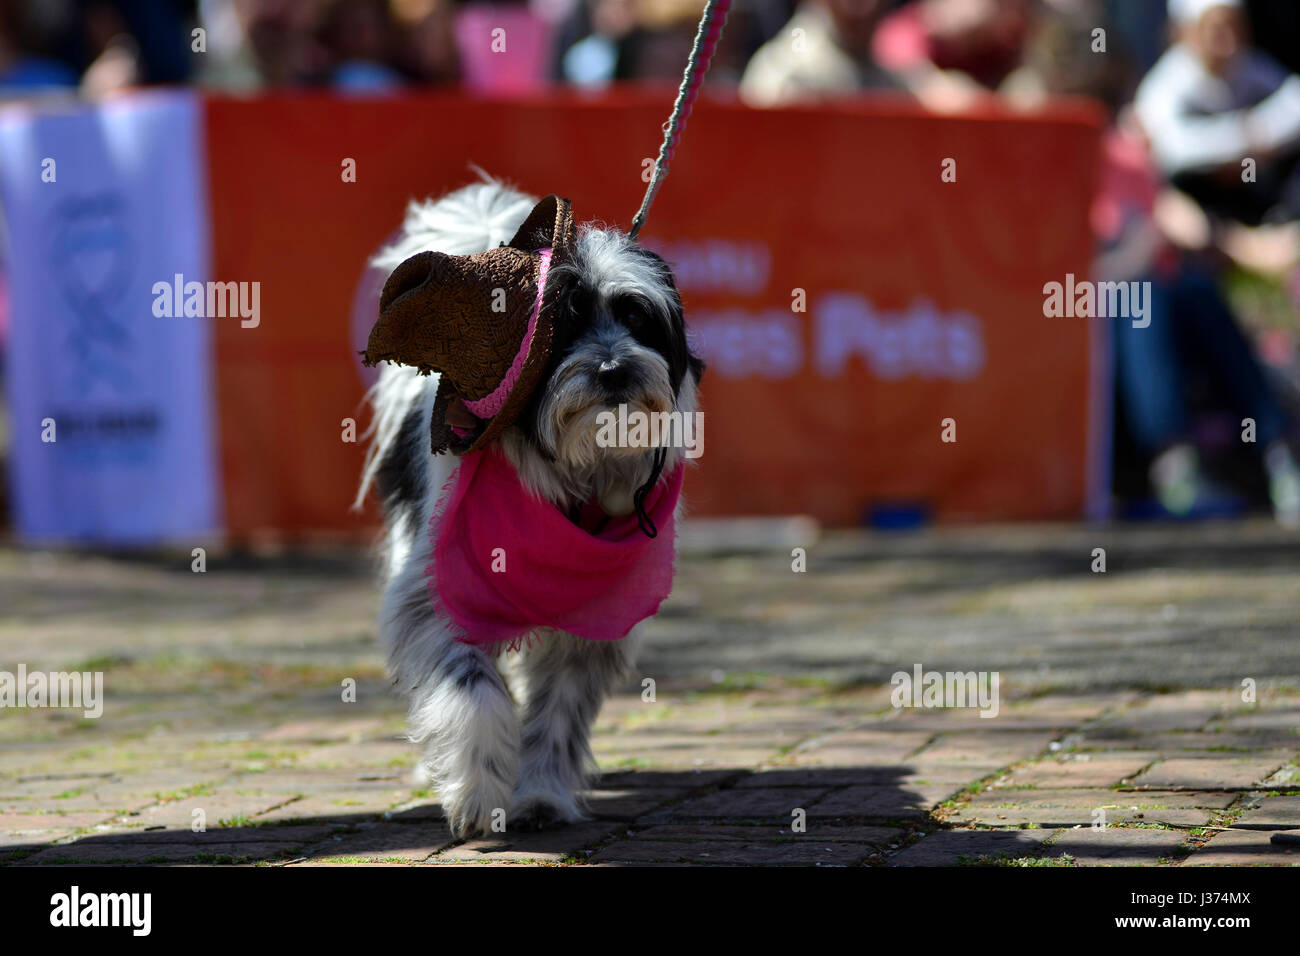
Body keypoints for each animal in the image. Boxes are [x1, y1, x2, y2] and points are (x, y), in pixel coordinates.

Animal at [353, 179, 702, 837]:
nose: (613, 371)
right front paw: (476, 792)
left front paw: (539, 794)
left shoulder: (586, 624)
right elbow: (473, 692)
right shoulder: (437, 598)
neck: (574, 468)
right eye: (561, 325)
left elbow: (557, 715)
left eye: (636, 316)